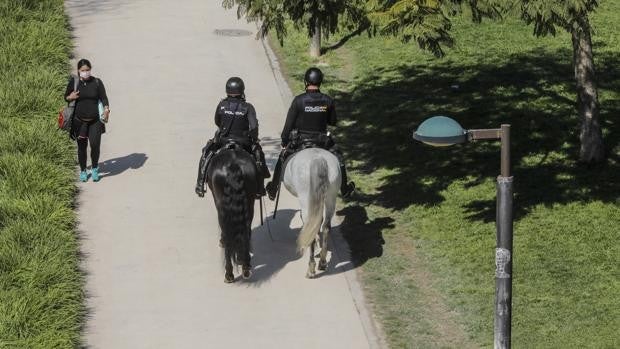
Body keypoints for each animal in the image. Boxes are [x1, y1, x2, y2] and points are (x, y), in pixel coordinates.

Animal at [207, 145, 258, 282]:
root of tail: (233, 165)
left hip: (222, 210)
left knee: (227, 234)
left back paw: (229, 274)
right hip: (249, 204)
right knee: (245, 230)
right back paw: (245, 266)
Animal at [284, 147, 342, 278]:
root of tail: (318, 158)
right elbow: (319, 222)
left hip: (306, 198)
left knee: (310, 226)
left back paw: (311, 268)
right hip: (331, 196)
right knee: (326, 226)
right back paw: (323, 262)